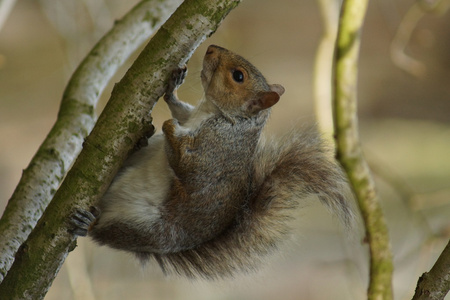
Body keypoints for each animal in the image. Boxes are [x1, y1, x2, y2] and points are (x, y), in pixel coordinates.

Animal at [71, 44, 356, 278]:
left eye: (238, 76)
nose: (211, 48)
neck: (218, 114)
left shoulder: (213, 151)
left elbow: (186, 165)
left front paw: (168, 125)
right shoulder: (192, 115)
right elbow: (181, 111)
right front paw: (173, 88)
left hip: (143, 227)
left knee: (104, 231)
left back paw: (87, 223)